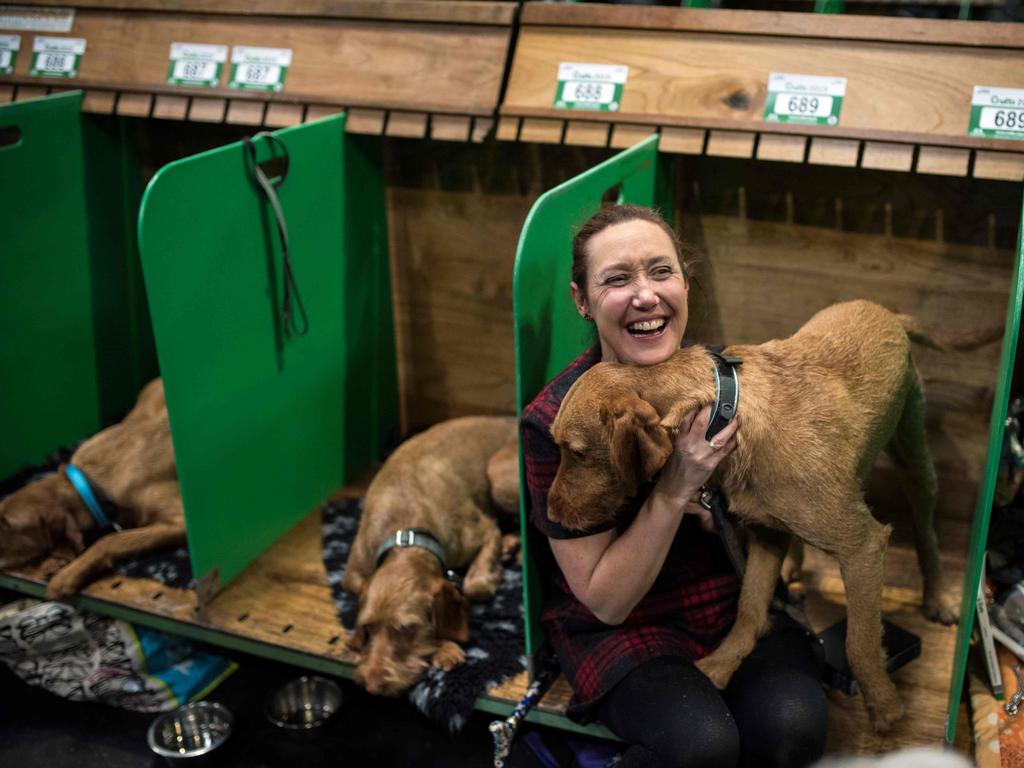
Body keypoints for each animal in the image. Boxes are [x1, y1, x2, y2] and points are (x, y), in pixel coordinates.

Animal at [0, 378, 186, 602]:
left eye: (9, 526)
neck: (90, 482)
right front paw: (56, 561)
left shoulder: (180, 520)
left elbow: (110, 540)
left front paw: (67, 576)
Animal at [344, 417, 520, 700]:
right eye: (368, 627)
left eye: (407, 628)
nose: (371, 685)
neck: (406, 536)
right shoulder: (352, 574)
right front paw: (443, 647)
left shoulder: (484, 531)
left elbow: (475, 586)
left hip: (498, 477)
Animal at [548, 301, 995, 733]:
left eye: (577, 452)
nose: (549, 512)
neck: (726, 409)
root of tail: (887, 311)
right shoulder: (763, 534)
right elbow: (749, 607)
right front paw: (724, 662)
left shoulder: (863, 547)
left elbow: (860, 642)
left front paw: (884, 706)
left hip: (915, 456)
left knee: (926, 531)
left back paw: (938, 597)